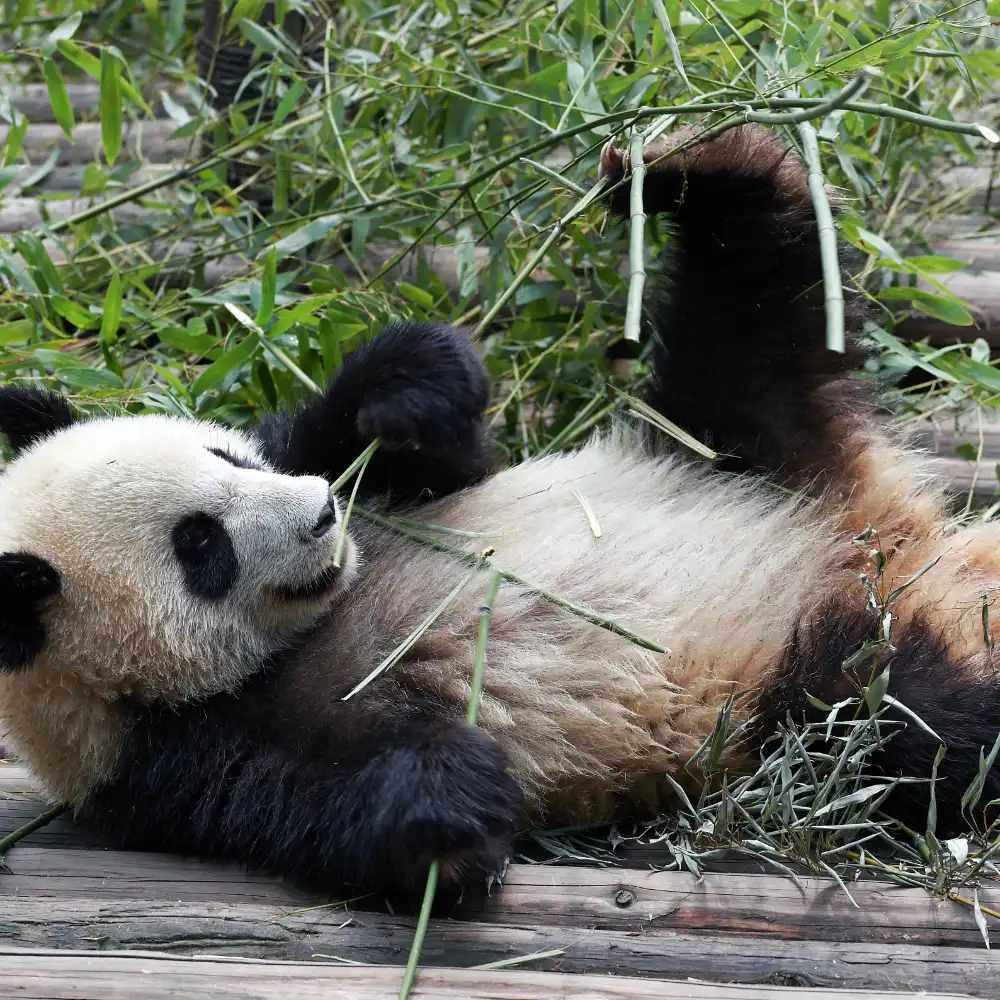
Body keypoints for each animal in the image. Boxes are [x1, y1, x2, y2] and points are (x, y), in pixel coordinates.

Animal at [1, 124, 998, 903]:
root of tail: (886, 539)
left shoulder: (369, 491)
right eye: (199, 548)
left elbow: (418, 451)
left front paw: (405, 394)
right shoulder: (168, 759)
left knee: (756, 300)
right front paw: (454, 795)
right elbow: (315, 800)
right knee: (904, 720)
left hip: (742, 449)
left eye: (229, 459)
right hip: (787, 695)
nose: (320, 517)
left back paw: (689, 163)